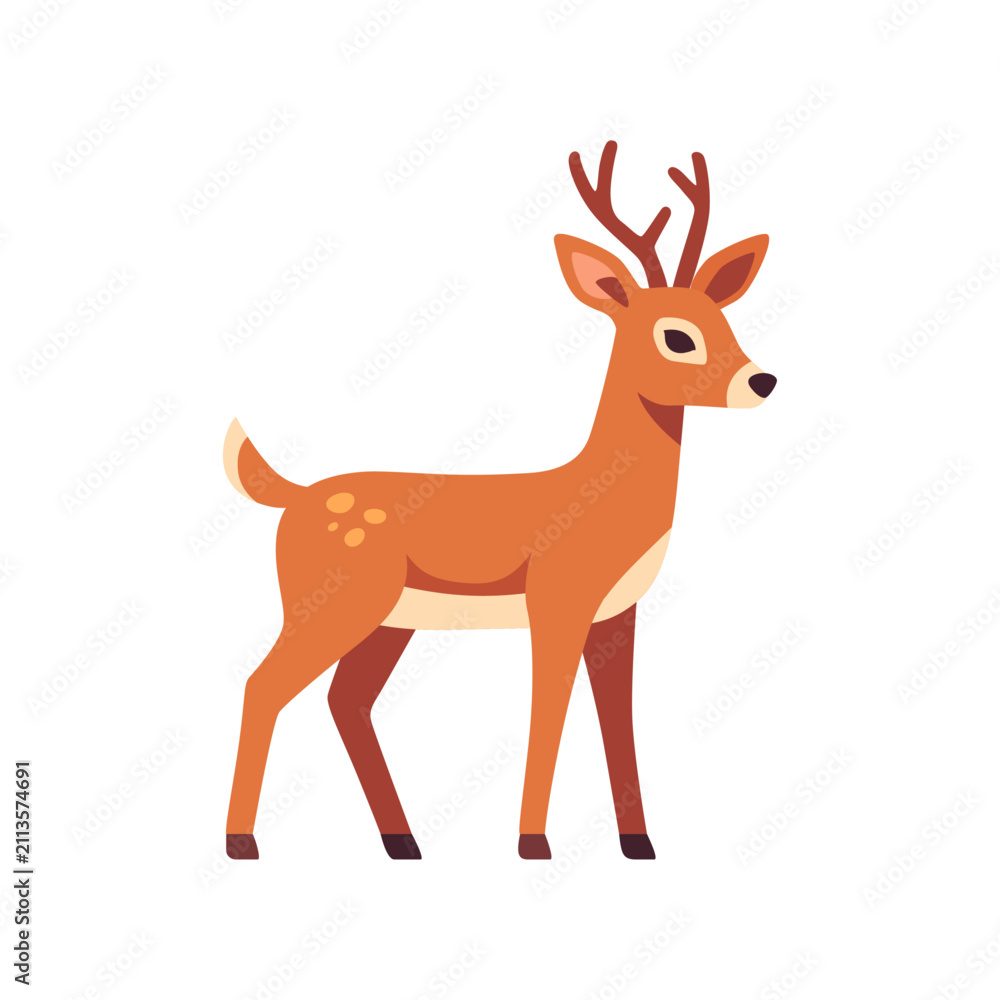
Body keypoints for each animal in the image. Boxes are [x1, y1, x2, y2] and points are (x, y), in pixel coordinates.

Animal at [224, 141, 776, 863]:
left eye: (724, 319)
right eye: (676, 336)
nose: (761, 381)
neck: (600, 495)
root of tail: (293, 496)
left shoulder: (616, 613)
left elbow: (617, 718)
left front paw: (639, 844)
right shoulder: (557, 599)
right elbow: (550, 711)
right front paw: (533, 842)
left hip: (388, 619)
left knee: (346, 702)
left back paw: (404, 841)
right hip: (332, 600)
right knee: (263, 686)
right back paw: (242, 842)